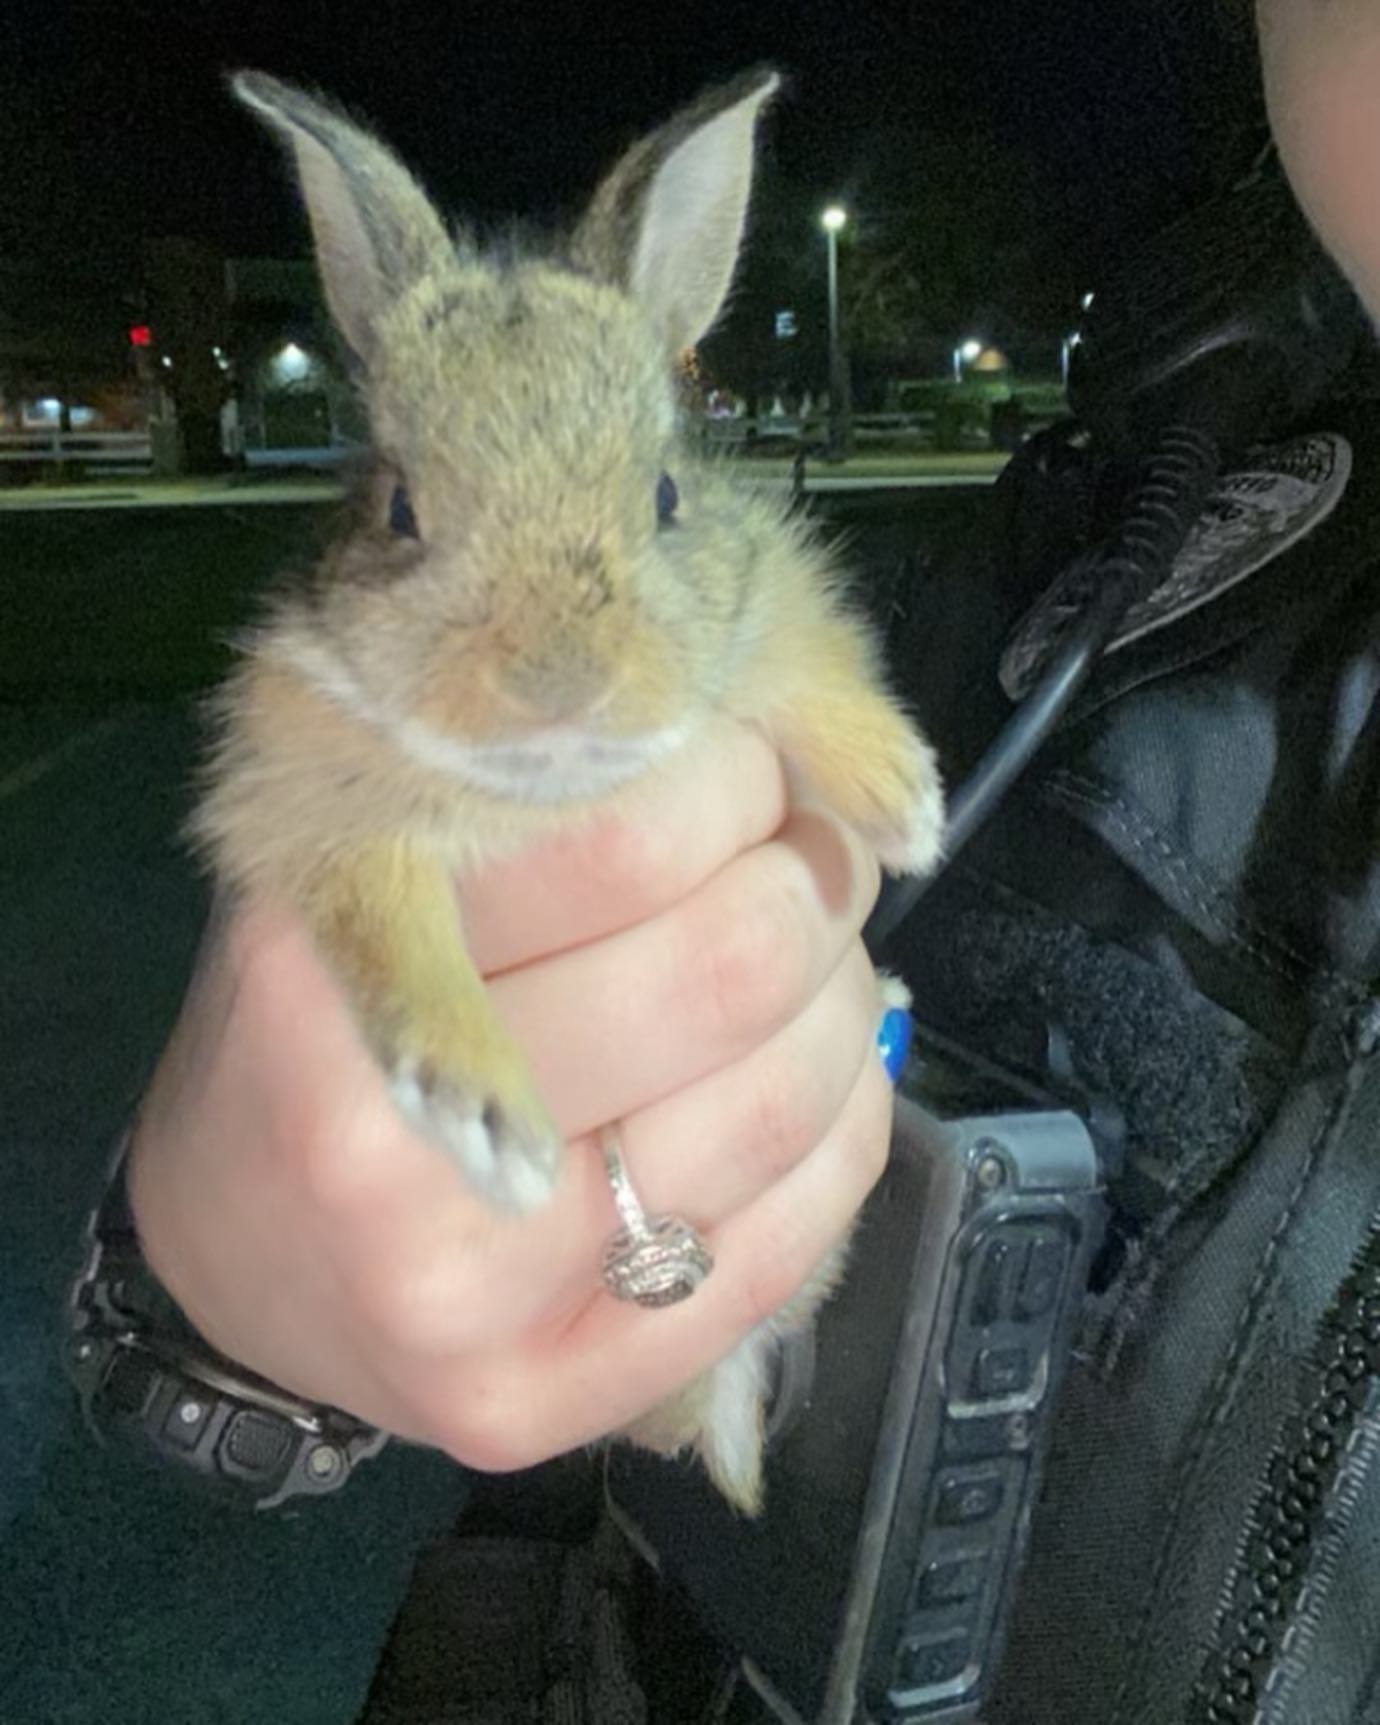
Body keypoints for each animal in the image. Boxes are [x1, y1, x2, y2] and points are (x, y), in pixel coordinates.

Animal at [194, 66, 944, 1515]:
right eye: (399, 510)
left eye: (664, 495)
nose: (559, 681)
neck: (552, 791)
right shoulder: (310, 809)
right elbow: (387, 926)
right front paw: (488, 1118)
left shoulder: (762, 606)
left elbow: (808, 675)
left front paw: (906, 804)